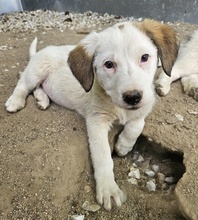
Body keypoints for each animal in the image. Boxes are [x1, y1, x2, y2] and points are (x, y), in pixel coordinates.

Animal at [4, 19, 179, 210]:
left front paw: (123, 146)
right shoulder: (96, 120)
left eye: (145, 57)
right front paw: (108, 189)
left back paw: (42, 99)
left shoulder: (144, 105)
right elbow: (102, 155)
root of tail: (39, 52)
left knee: (38, 87)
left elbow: (137, 124)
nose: (132, 97)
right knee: (23, 83)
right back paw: (15, 101)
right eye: (109, 64)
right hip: (36, 71)